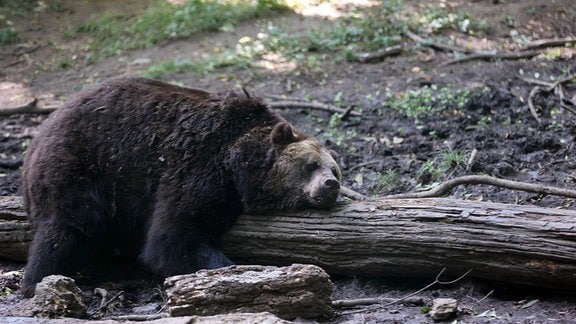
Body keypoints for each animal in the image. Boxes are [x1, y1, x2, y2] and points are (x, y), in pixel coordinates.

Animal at [20, 77, 340, 298]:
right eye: (311, 164)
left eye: (334, 168)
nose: (331, 184)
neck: (238, 162)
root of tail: (36, 140)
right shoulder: (198, 165)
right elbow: (172, 237)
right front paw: (231, 269)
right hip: (80, 166)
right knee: (67, 228)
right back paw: (39, 279)